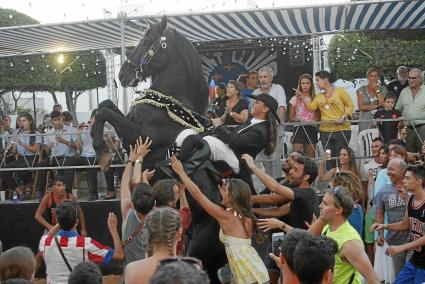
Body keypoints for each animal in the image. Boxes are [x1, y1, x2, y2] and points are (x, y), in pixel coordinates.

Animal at [91, 17, 227, 282]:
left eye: (146, 42)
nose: (123, 74)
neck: (167, 106)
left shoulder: (137, 135)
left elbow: (105, 113)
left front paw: (101, 151)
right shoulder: (130, 132)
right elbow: (105, 105)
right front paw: (99, 147)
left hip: (197, 252)